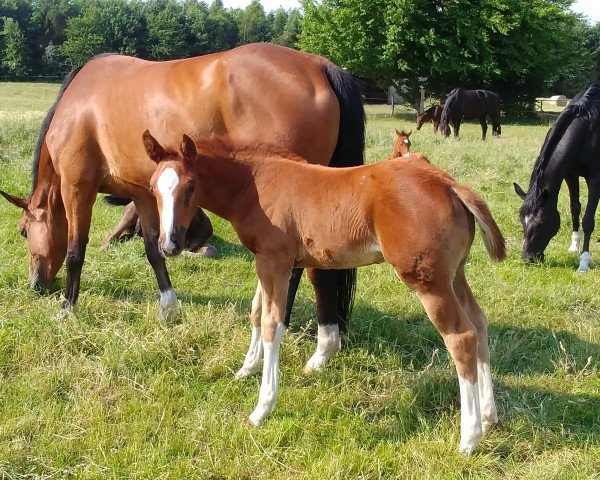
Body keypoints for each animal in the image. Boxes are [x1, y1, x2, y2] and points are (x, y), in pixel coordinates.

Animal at [0, 43, 366, 364]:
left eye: (23, 232)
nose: (36, 286)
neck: (78, 103)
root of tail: (319, 66)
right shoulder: (143, 194)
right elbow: (154, 251)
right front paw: (169, 307)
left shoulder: (78, 187)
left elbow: (76, 250)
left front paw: (67, 309)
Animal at [145, 131, 506, 454]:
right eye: (153, 188)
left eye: (190, 186)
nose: (169, 245)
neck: (255, 183)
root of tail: (448, 184)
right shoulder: (265, 260)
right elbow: (257, 313)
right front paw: (246, 370)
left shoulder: (276, 261)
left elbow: (272, 324)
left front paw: (262, 408)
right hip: (454, 274)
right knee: (479, 322)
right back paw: (489, 417)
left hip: (427, 281)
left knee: (461, 337)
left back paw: (469, 438)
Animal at [510, 84, 600, 272]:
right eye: (522, 220)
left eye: (541, 222)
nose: (528, 258)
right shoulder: (570, 174)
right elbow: (575, 208)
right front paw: (574, 246)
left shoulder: (596, 179)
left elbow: (588, 219)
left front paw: (584, 262)